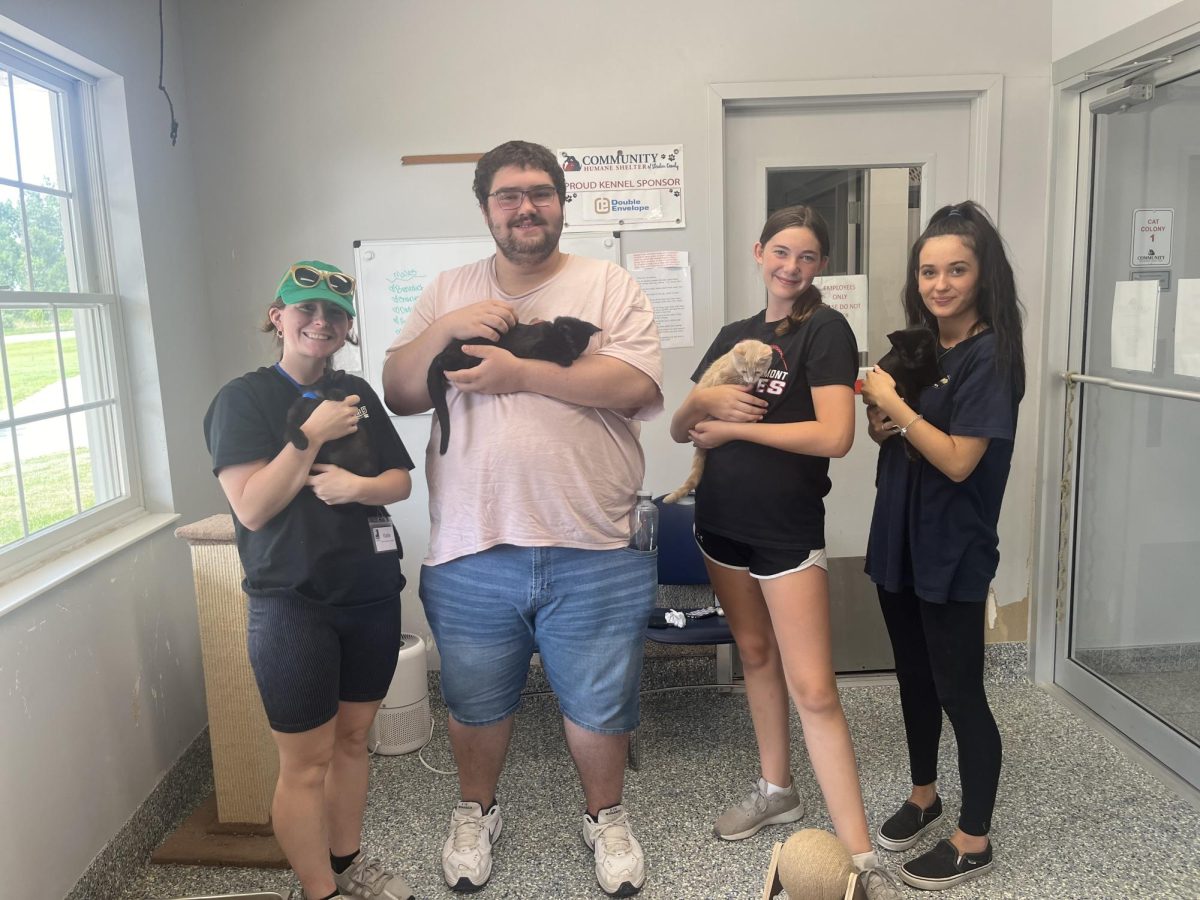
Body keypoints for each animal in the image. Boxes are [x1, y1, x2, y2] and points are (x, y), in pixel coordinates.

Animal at [429, 316, 600, 458]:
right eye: (571, 342)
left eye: (582, 346)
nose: (575, 355)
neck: (552, 332)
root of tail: (442, 353)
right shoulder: (533, 348)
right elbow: (550, 352)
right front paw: (565, 359)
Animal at [878, 326, 940, 465]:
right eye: (904, 355)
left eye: (918, 353)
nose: (911, 364)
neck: (919, 371)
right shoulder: (894, 369)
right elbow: (905, 382)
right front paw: (913, 399)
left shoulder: (931, 371)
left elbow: (933, 377)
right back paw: (913, 454)